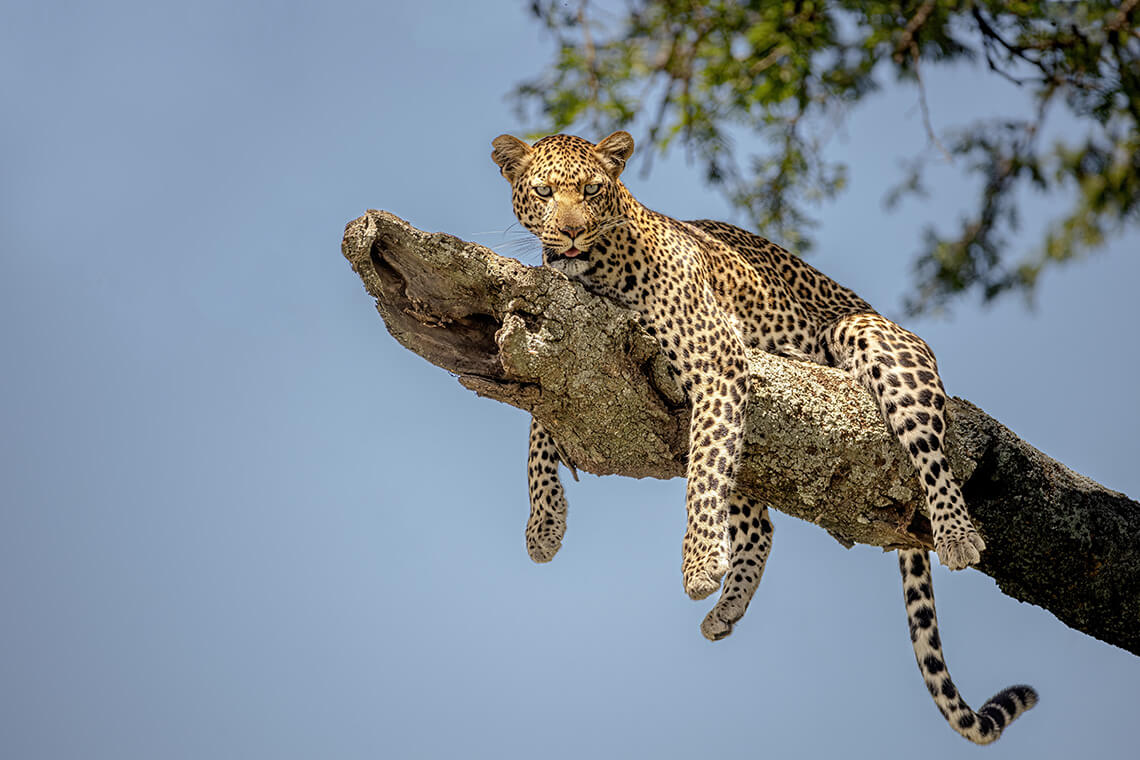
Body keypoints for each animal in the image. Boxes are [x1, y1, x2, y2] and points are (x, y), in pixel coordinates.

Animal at [485, 131, 1039, 742]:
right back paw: (727, 607)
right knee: (762, 522)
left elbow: (703, 475)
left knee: (931, 453)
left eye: (591, 190)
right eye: (544, 192)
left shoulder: (717, 358)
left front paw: (699, 561)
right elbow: (539, 421)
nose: (570, 231)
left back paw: (956, 532)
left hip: (874, 341)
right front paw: (544, 524)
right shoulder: (562, 340)